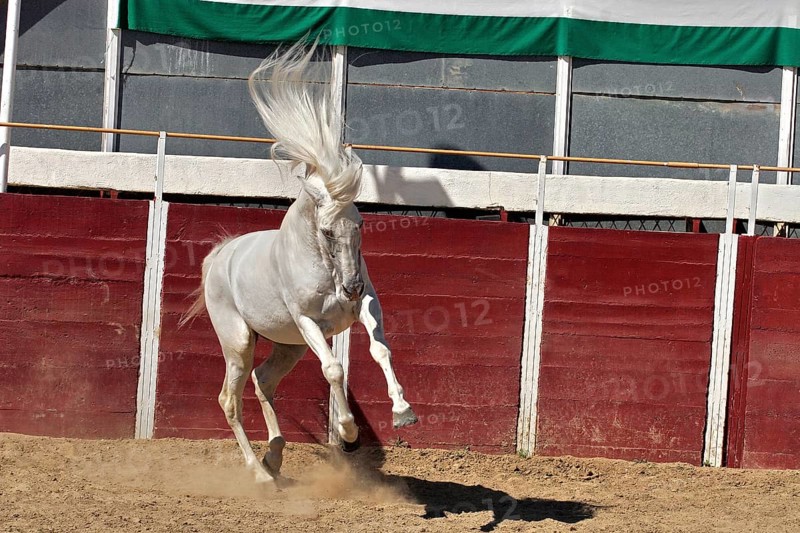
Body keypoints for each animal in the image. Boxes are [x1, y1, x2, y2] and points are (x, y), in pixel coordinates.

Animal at [181, 41, 418, 484]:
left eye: (361, 222)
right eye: (326, 230)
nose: (351, 287)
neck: (325, 266)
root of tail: (220, 257)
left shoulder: (367, 307)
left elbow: (380, 351)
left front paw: (403, 411)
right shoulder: (309, 323)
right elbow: (334, 370)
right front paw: (348, 432)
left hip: (286, 346)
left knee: (263, 381)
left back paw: (274, 456)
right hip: (239, 342)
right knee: (229, 399)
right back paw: (259, 473)